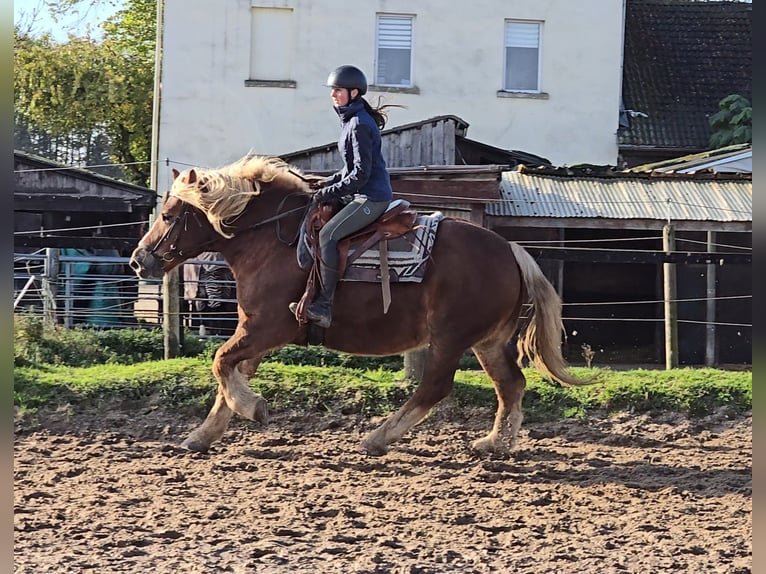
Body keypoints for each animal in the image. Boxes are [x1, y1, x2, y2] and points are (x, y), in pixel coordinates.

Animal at [129, 154, 592, 460]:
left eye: (168, 215)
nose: (138, 260)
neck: (271, 241)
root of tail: (511, 250)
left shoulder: (266, 327)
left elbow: (220, 363)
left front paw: (253, 408)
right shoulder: (254, 333)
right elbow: (228, 377)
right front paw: (202, 436)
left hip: (450, 338)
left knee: (434, 388)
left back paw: (378, 438)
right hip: (487, 341)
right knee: (510, 384)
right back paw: (497, 443)